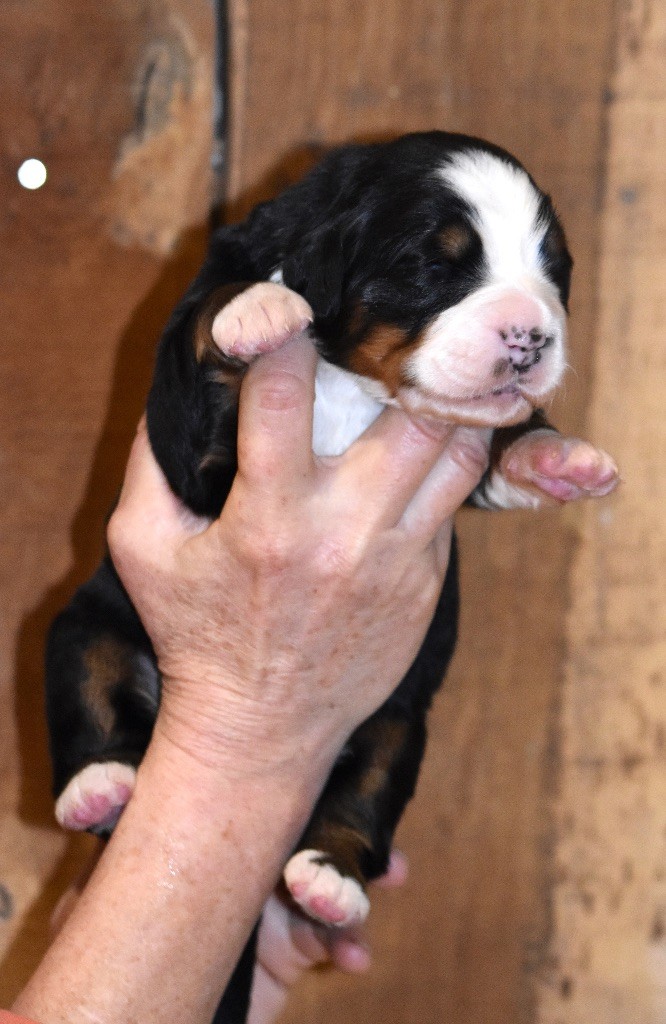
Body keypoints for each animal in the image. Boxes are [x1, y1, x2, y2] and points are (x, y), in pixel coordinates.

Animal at [45, 132, 618, 1019]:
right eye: (432, 265)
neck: (357, 391)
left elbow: (502, 442)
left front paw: (558, 456)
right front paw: (258, 308)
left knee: (360, 800)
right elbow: (206, 319)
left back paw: (329, 881)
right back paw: (101, 783)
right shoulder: (188, 436)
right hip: (88, 621)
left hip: (396, 725)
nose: (531, 336)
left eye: (550, 269)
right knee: (90, 692)